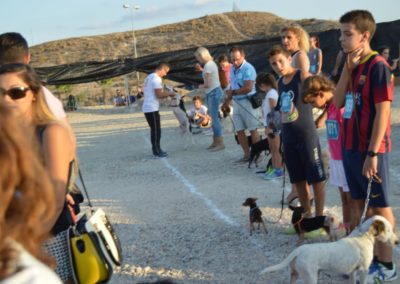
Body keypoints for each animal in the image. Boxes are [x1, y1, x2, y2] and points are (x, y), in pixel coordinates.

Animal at [260, 215, 396, 284]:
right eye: (388, 230)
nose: (397, 242)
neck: (362, 235)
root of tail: (299, 250)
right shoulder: (363, 270)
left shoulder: (353, 271)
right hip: (311, 278)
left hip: (295, 274)